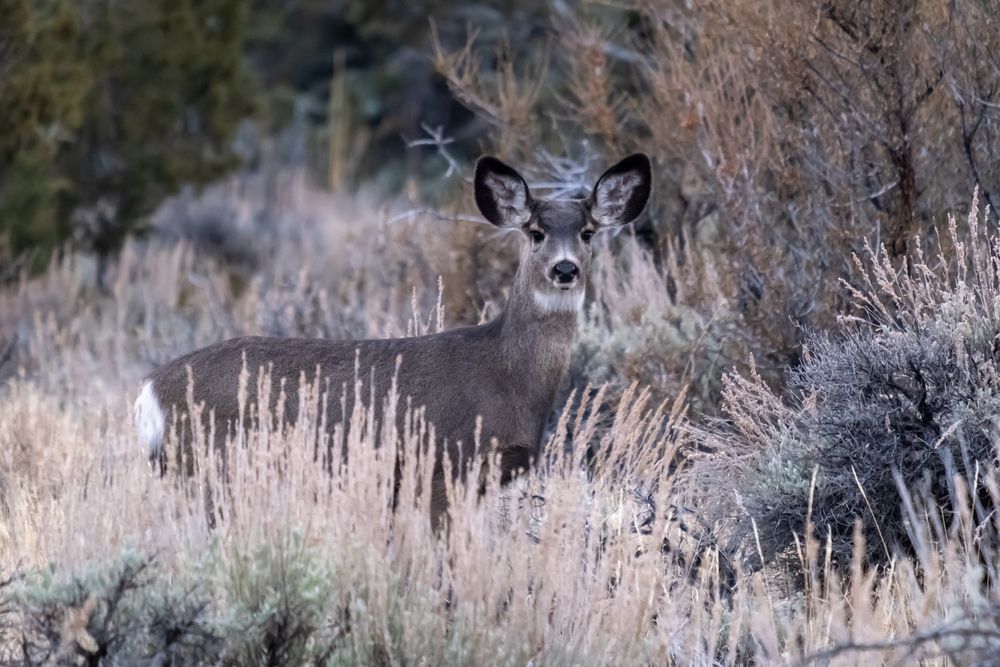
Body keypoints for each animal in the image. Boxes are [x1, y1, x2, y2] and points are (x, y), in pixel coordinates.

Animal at [133, 153, 652, 527]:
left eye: (587, 232)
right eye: (537, 232)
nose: (565, 269)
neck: (507, 376)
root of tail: (149, 391)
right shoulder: (444, 468)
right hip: (210, 467)